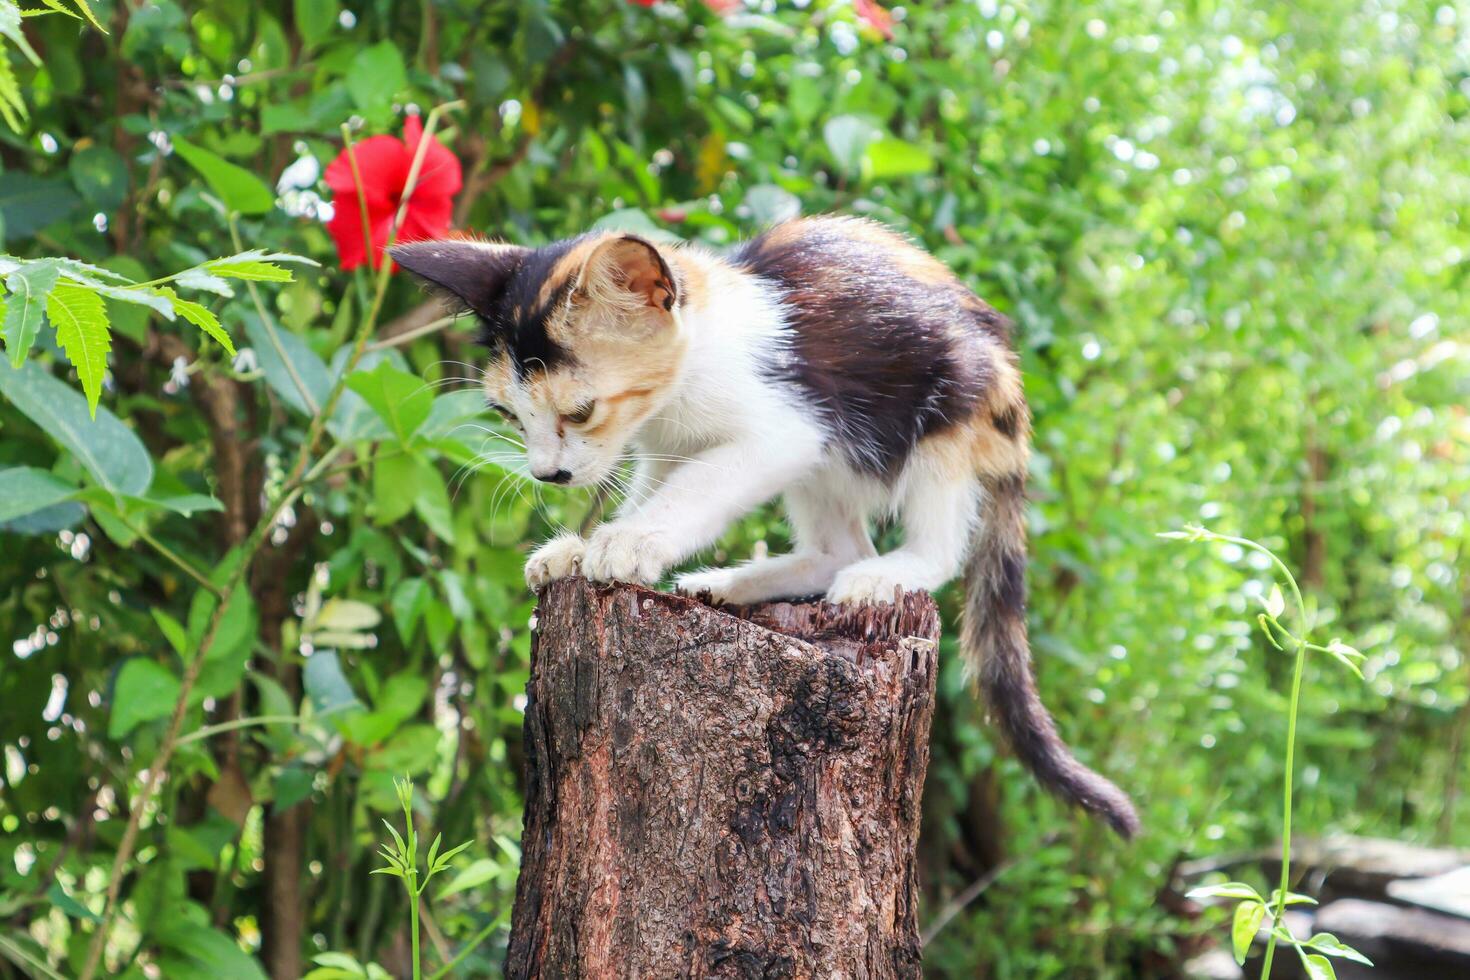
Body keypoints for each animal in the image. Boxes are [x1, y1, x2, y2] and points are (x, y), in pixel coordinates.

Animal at [391, 218, 1134, 840]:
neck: (686, 374)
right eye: (509, 415)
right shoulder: (669, 445)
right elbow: (654, 488)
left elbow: (699, 487)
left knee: (933, 548)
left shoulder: (786, 425)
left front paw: (625, 543)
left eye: (580, 410)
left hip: (946, 409)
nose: (549, 475)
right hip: (839, 456)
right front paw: (578, 551)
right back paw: (731, 583)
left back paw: (885, 573)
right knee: (836, 549)